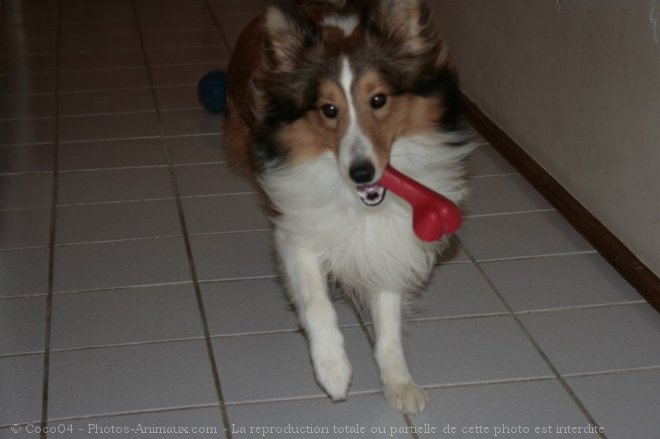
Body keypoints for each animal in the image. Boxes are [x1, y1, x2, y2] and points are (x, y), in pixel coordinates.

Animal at [224, 0, 472, 416]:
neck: (357, 203)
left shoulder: (389, 240)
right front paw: (333, 369)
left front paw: (398, 383)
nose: (361, 172)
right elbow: (316, 303)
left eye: (378, 99)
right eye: (328, 109)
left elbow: (388, 320)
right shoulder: (296, 233)